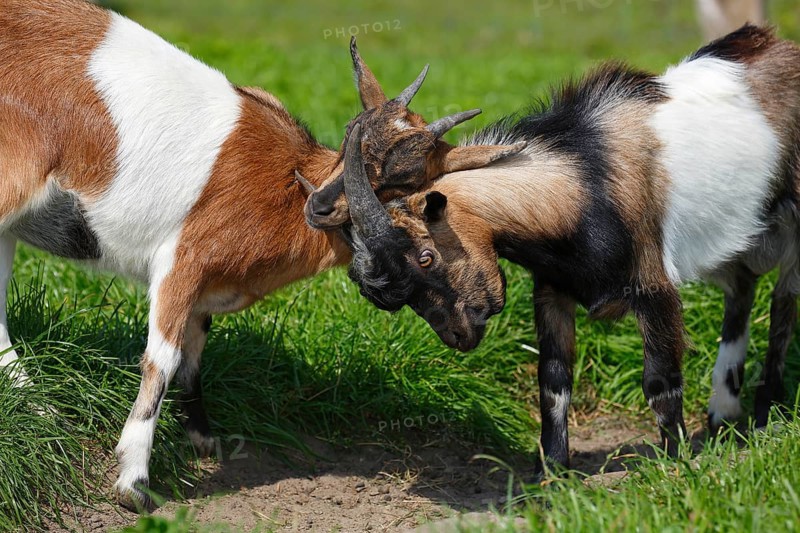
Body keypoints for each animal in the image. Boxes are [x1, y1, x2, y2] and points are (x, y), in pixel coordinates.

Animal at [0, 0, 522, 511]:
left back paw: (40, 406)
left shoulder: (205, 290)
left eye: (406, 179)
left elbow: (193, 356)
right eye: (352, 138)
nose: (477, 321)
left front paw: (204, 443)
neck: (285, 187)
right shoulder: (182, 260)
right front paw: (134, 484)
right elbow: (162, 359)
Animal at [331, 26, 800, 470]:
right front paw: (552, 474)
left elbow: (661, 381)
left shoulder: (654, 285)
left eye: (426, 257)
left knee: (782, 307)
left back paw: (765, 415)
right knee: (742, 286)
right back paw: (723, 411)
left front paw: (677, 462)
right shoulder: (552, 289)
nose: (458, 336)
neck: (582, 182)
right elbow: (553, 381)